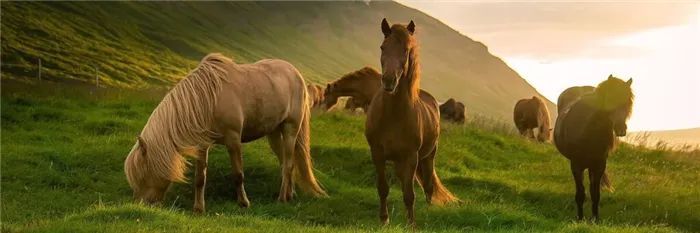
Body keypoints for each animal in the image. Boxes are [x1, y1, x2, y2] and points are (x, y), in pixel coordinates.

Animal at [125, 52, 328, 213]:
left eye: (143, 175)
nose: (139, 204)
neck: (208, 100)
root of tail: (296, 73)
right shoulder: (202, 145)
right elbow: (200, 178)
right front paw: (199, 209)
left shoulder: (233, 140)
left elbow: (238, 174)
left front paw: (243, 203)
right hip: (273, 133)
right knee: (286, 162)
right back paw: (289, 194)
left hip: (290, 129)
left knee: (288, 164)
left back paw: (282, 199)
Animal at [364, 17, 462, 229]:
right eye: (383, 47)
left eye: (407, 50)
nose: (389, 81)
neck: (392, 116)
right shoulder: (378, 154)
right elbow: (383, 188)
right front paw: (384, 219)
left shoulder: (411, 157)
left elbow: (410, 194)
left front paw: (412, 224)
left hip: (428, 156)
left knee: (428, 186)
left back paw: (428, 209)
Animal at [556, 74, 636, 220]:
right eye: (610, 98)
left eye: (628, 102)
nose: (621, 129)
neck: (587, 131)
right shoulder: (576, 165)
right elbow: (580, 194)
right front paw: (580, 218)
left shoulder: (599, 165)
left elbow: (595, 194)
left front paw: (595, 219)